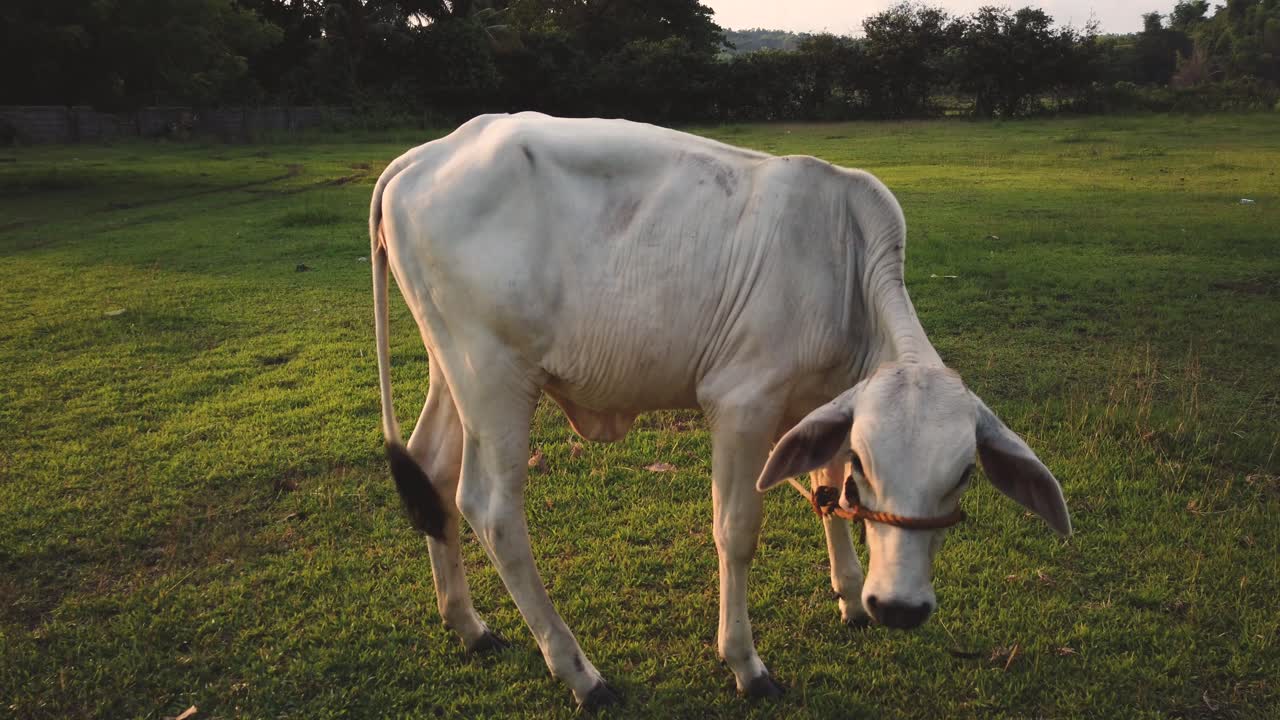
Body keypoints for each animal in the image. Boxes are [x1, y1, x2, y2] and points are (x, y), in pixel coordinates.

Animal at [369, 112, 1070, 707]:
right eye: (871, 467)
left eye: (964, 474)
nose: (899, 606)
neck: (846, 265)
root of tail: (425, 156)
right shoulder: (740, 404)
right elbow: (737, 531)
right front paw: (745, 664)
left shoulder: (826, 404)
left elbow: (824, 491)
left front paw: (849, 597)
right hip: (495, 378)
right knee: (491, 510)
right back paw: (581, 674)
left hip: (450, 367)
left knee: (431, 474)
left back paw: (469, 625)